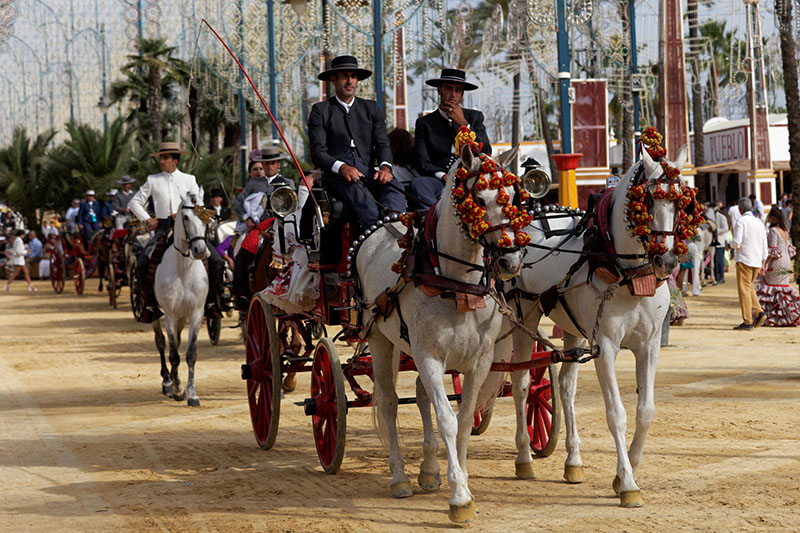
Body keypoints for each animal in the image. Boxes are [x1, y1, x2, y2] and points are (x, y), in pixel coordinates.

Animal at [152, 191, 209, 408]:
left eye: (207, 217)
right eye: (185, 217)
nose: (200, 250)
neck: (184, 269)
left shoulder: (196, 314)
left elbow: (190, 354)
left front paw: (191, 394)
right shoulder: (169, 314)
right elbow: (174, 355)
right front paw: (177, 389)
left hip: (182, 317)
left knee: (174, 340)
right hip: (155, 314)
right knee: (161, 342)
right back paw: (168, 382)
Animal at [356, 143, 524, 520]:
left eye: (513, 197)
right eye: (479, 198)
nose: (511, 260)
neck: (455, 283)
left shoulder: (479, 361)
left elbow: (463, 420)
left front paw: (460, 480)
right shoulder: (430, 357)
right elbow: (446, 419)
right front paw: (459, 496)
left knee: (420, 395)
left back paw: (429, 471)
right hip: (380, 340)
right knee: (389, 403)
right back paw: (400, 478)